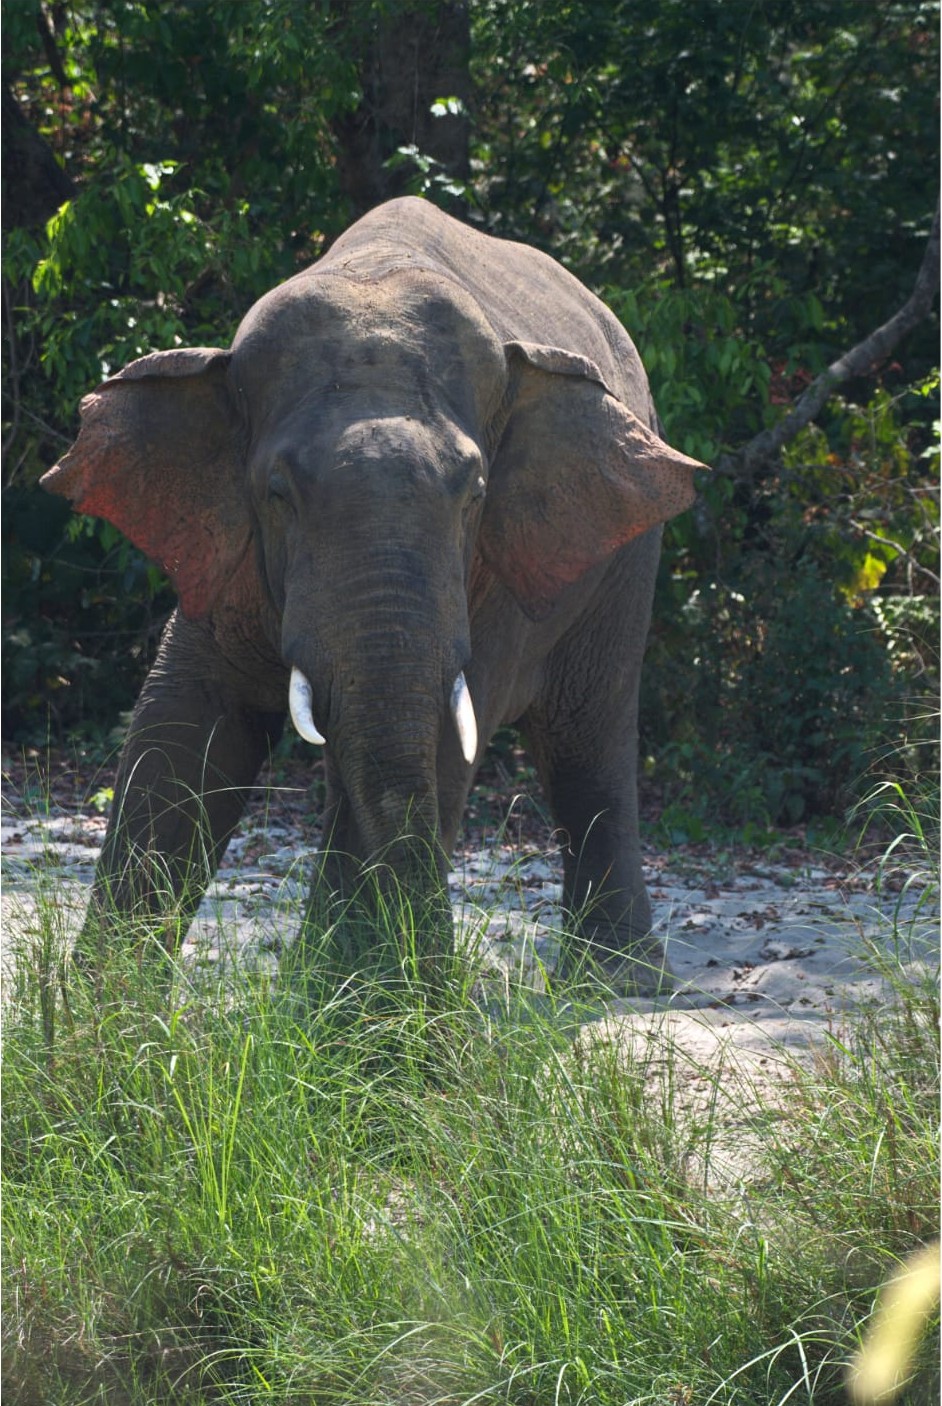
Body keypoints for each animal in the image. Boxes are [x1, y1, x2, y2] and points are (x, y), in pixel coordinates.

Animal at [42, 196, 705, 996]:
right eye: (278, 493)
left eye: (474, 494)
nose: (441, 991)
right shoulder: (229, 551)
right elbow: (181, 725)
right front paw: (100, 1010)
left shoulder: (493, 565)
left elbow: (441, 731)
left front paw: (360, 1011)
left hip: (625, 555)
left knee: (589, 733)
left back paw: (613, 984)